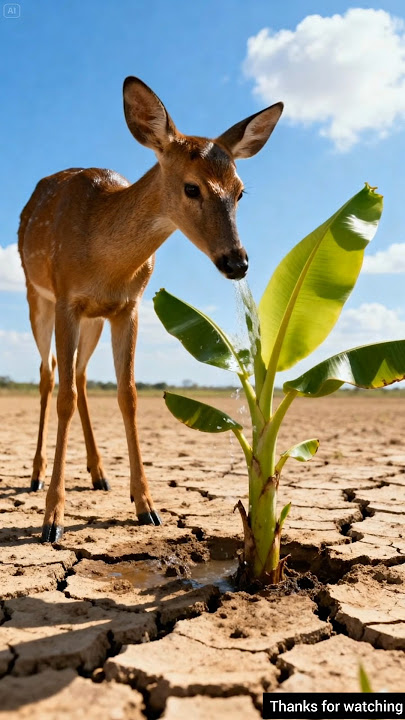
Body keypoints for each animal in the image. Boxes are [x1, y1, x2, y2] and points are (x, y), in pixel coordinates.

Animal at [18, 77, 283, 543]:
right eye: (192, 187)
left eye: (240, 191)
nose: (237, 262)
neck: (104, 259)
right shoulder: (67, 298)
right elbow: (65, 396)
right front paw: (52, 520)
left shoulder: (129, 307)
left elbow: (128, 395)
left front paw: (146, 505)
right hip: (38, 297)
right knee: (49, 376)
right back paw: (35, 476)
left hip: (93, 320)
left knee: (81, 376)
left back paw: (99, 474)